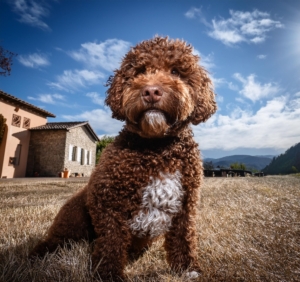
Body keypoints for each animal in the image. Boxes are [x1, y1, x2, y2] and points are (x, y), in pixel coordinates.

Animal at [30, 36, 217, 280]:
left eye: (175, 71)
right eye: (139, 71)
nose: (151, 91)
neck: (156, 147)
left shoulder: (186, 205)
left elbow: (183, 238)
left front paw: (187, 269)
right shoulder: (107, 202)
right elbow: (112, 242)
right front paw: (108, 274)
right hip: (74, 216)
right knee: (56, 240)